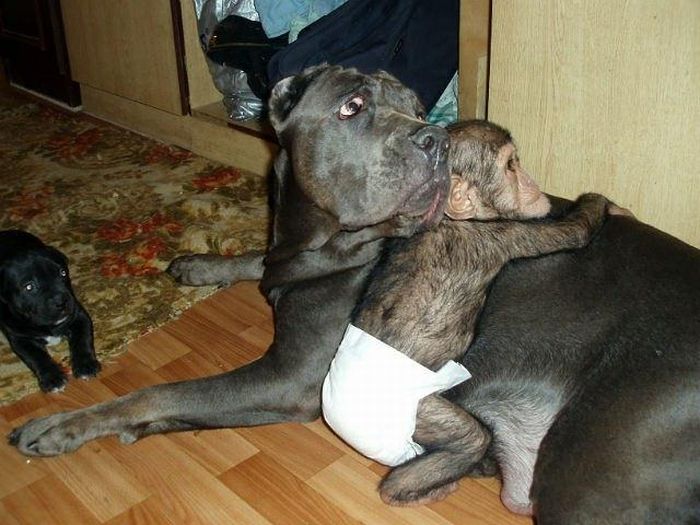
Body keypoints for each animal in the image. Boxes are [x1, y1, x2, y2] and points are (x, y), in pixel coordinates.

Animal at [0, 231, 100, 390]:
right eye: (29, 287)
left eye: (63, 273)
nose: (61, 301)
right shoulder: (20, 339)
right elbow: (37, 357)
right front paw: (52, 378)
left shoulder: (79, 316)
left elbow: (82, 339)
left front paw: (86, 365)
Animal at [320, 121, 628, 510]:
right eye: (510, 166)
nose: (530, 181)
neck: (450, 220)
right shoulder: (502, 235)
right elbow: (573, 232)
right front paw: (607, 205)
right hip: (413, 411)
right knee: (470, 439)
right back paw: (418, 486)